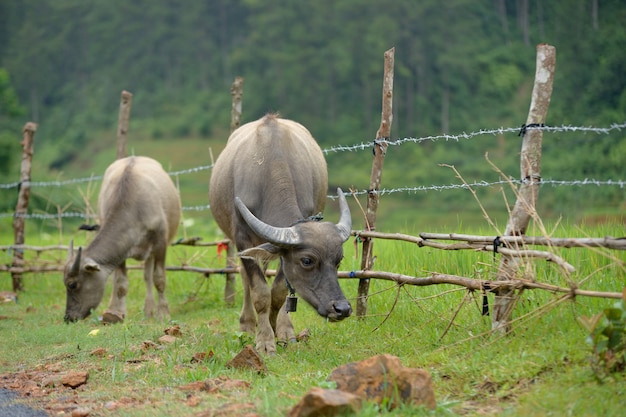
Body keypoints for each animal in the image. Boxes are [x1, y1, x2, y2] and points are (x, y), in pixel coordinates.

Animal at [63, 156, 180, 322]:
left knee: (149, 277)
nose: (68, 317)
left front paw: (163, 313)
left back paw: (149, 310)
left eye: (72, 284)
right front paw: (118, 313)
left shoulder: (160, 244)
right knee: (140, 277)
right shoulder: (121, 252)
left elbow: (159, 279)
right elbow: (121, 283)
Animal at [208, 114, 352, 354]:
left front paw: (280, 330)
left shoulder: (283, 252)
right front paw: (264, 341)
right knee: (246, 282)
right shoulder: (243, 240)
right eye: (307, 260)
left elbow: (278, 293)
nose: (342, 308)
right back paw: (247, 325)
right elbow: (260, 293)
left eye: (338, 260)